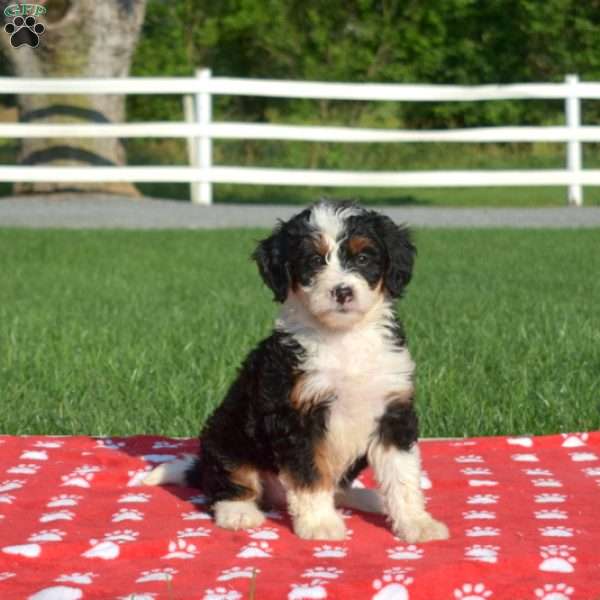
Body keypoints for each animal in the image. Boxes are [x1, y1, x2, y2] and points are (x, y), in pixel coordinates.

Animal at [143, 202, 448, 544]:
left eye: (363, 258)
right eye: (314, 260)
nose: (342, 292)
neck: (344, 338)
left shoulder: (393, 411)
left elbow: (403, 475)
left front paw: (417, 523)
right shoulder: (296, 415)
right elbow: (309, 473)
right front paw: (320, 525)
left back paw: (366, 498)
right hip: (227, 433)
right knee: (228, 480)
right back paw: (238, 511)